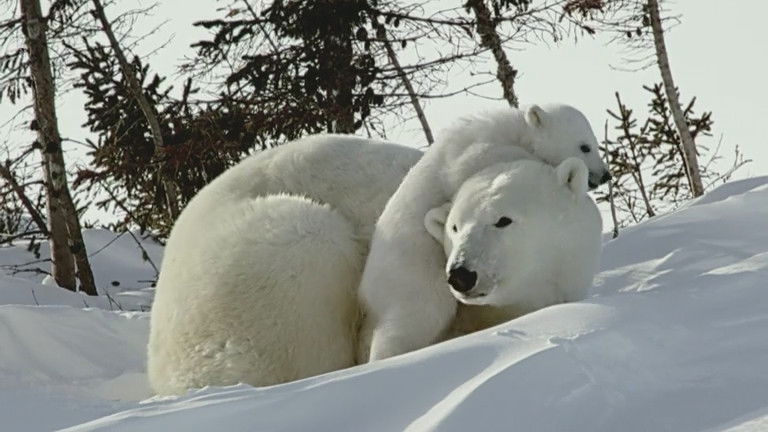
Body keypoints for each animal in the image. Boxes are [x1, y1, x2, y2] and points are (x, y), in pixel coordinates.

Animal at [358, 103, 608, 362]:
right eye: (585, 146)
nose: (605, 175)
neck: (516, 130)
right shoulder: (481, 149)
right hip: (412, 271)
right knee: (417, 314)